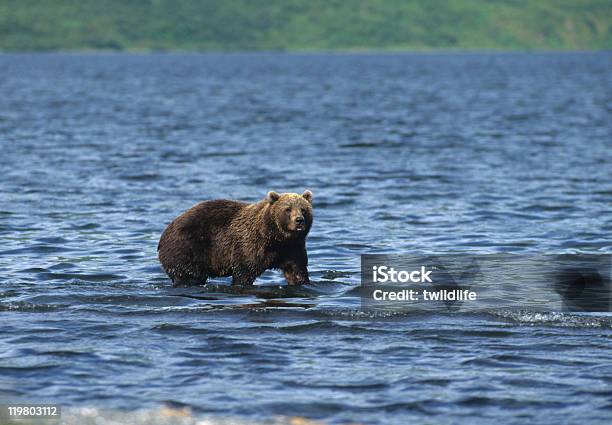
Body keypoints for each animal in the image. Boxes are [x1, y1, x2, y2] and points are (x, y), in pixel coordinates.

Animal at [158, 190, 314, 286]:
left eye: (303, 209)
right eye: (287, 209)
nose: (299, 220)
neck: (276, 237)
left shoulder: (291, 248)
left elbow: (297, 270)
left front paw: (302, 281)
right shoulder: (250, 245)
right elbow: (244, 272)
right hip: (188, 247)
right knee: (189, 276)